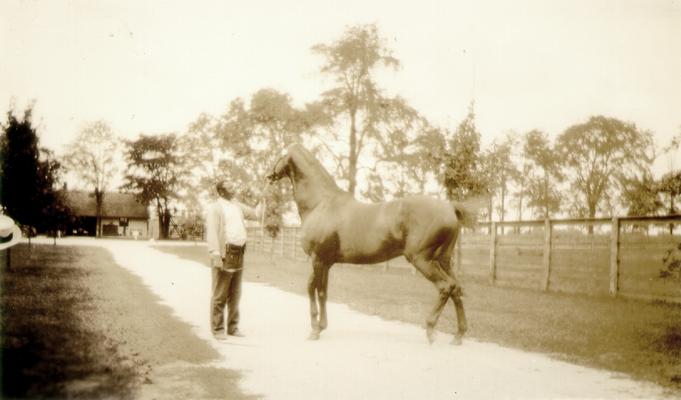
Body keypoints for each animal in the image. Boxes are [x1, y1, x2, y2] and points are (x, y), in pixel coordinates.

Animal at [266, 144, 478, 344]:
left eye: (280, 154)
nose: (269, 175)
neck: (321, 203)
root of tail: (449, 207)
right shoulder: (325, 263)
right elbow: (317, 290)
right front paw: (319, 327)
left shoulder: (318, 260)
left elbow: (317, 291)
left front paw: (315, 331)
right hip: (444, 260)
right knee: (456, 288)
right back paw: (458, 336)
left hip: (422, 260)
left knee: (445, 287)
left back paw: (431, 330)